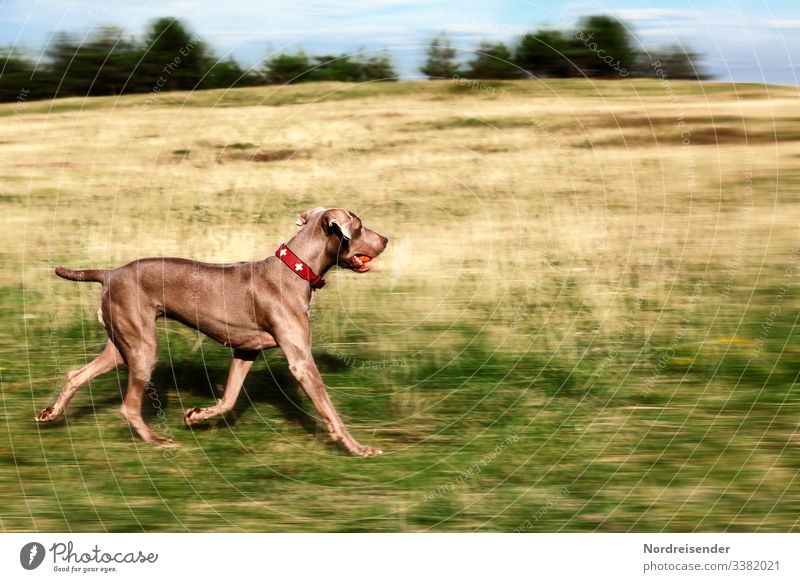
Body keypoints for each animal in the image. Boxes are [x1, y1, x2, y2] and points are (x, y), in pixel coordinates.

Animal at [37, 208, 388, 458]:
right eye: (359, 226)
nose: (385, 239)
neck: (294, 271)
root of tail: (109, 273)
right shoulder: (301, 361)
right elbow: (329, 409)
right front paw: (359, 448)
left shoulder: (245, 351)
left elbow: (229, 399)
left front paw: (196, 415)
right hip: (142, 346)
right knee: (128, 405)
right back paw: (156, 440)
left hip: (123, 344)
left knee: (75, 374)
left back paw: (51, 413)